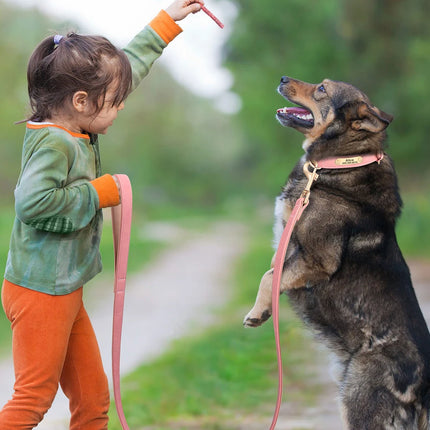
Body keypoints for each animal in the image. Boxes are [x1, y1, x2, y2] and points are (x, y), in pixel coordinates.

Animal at [244, 77, 430, 430]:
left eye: (321, 89)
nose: (283, 79)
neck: (343, 160)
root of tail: (423, 389)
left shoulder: (317, 259)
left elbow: (269, 276)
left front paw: (259, 313)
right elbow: (272, 272)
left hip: (358, 402)